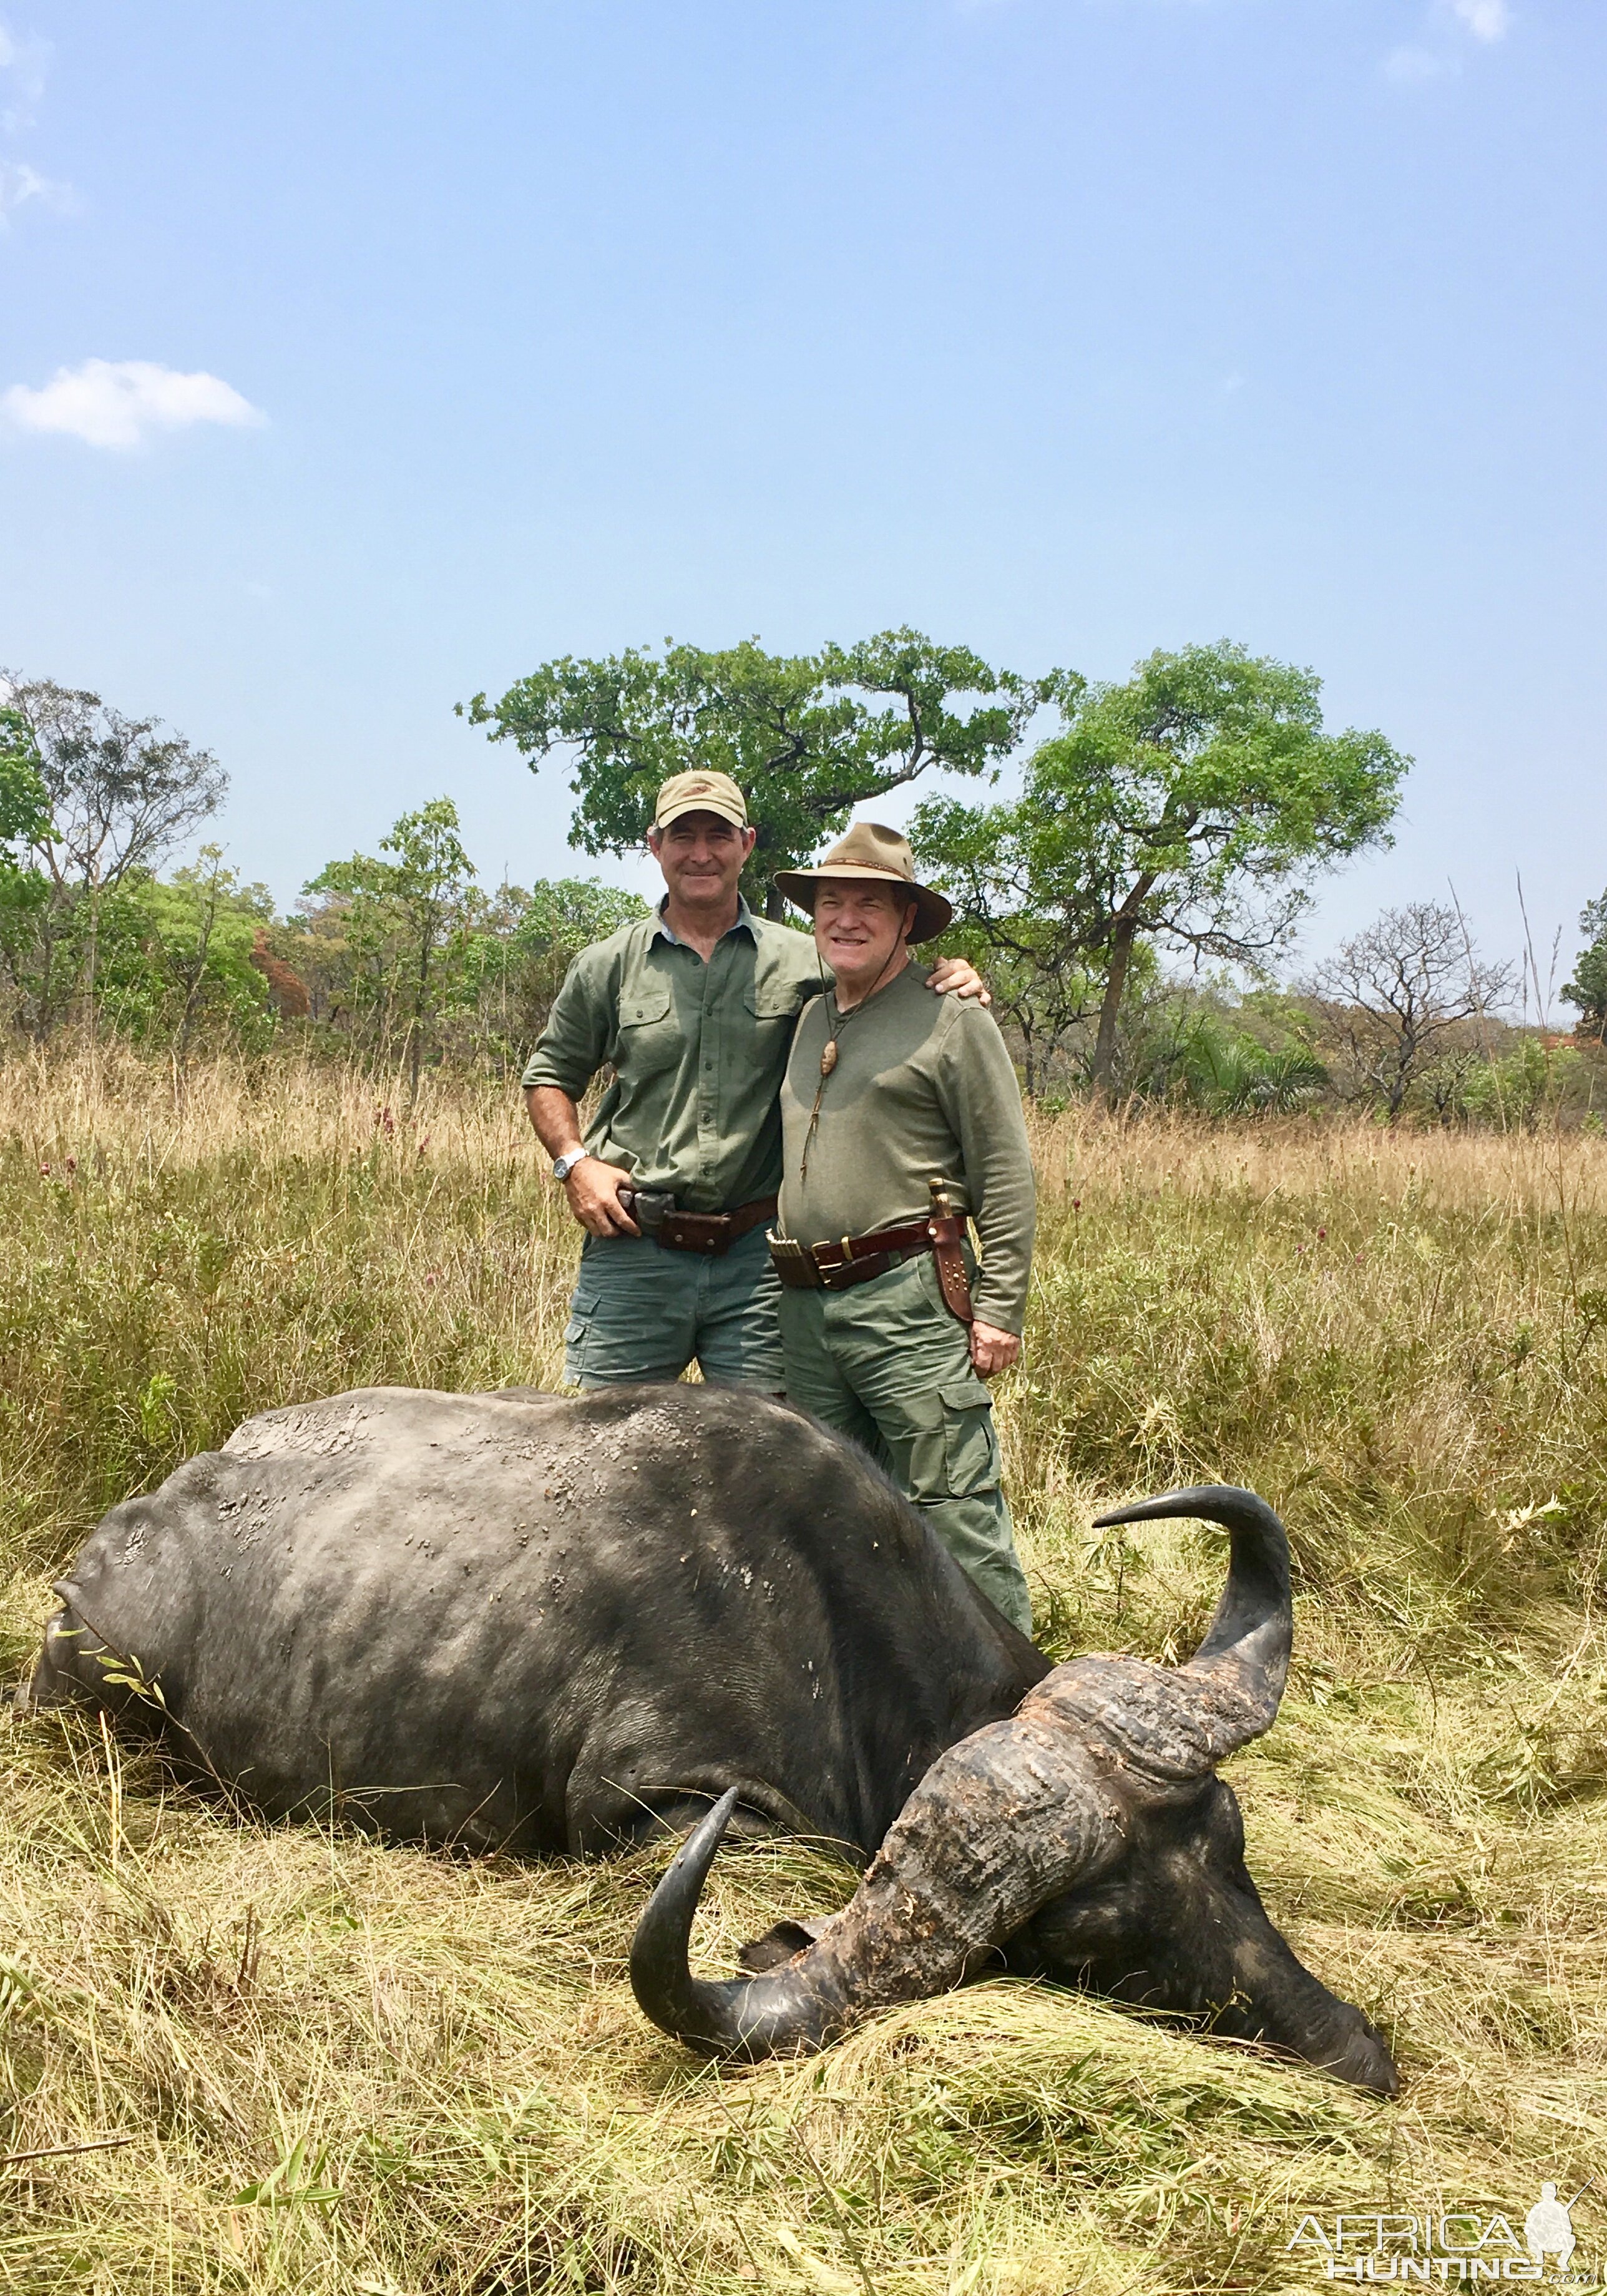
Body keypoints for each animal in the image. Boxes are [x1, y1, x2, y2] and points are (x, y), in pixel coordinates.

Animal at [16, 1377, 1395, 2103]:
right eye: (1098, 1936)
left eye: (1228, 1839)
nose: (1359, 2053)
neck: (817, 1616)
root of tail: (117, 1542)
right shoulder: (667, 1807)